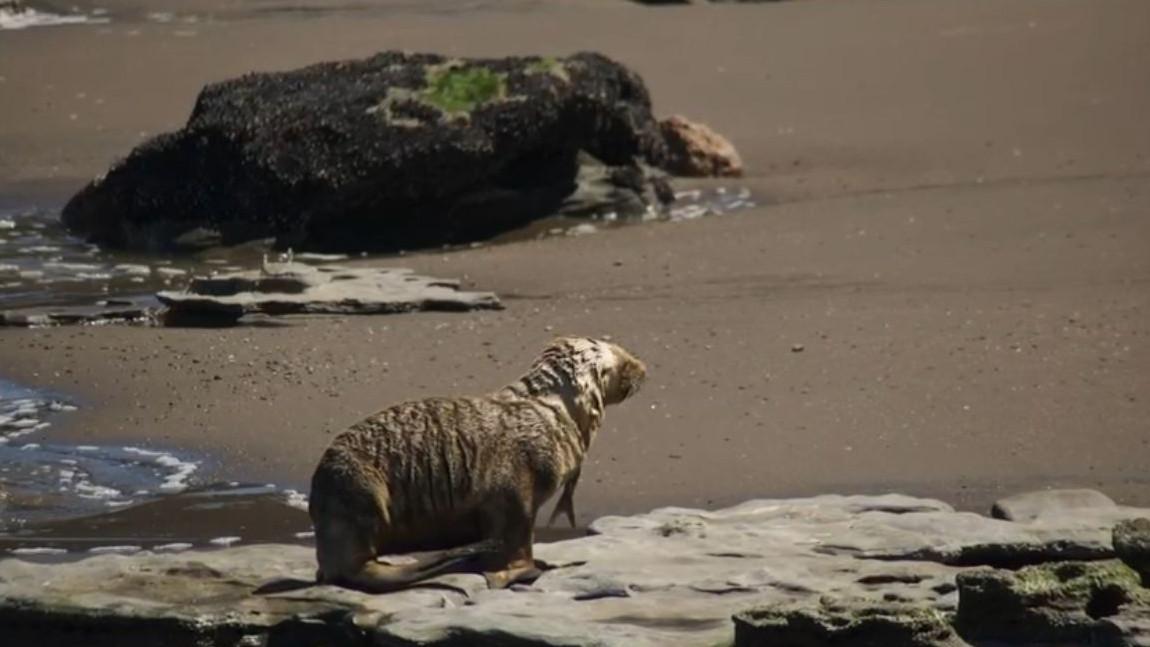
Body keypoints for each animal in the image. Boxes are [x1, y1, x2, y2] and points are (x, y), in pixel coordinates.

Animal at [308, 336, 646, 592]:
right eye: (622, 361)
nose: (644, 368)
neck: (551, 413)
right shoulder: (513, 489)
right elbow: (517, 537)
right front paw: (519, 572)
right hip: (362, 496)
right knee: (358, 566)